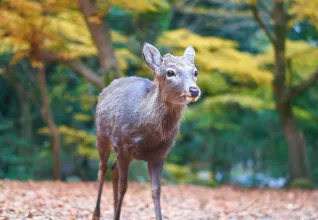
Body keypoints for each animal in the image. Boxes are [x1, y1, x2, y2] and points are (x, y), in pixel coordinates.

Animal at [92, 43, 201, 220]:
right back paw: (96, 214)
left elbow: (156, 190)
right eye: (170, 72)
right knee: (102, 169)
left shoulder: (160, 154)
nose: (194, 90)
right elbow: (124, 186)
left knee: (114, 169)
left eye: (195, 72)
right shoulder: (122, 145)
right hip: (102, 135)